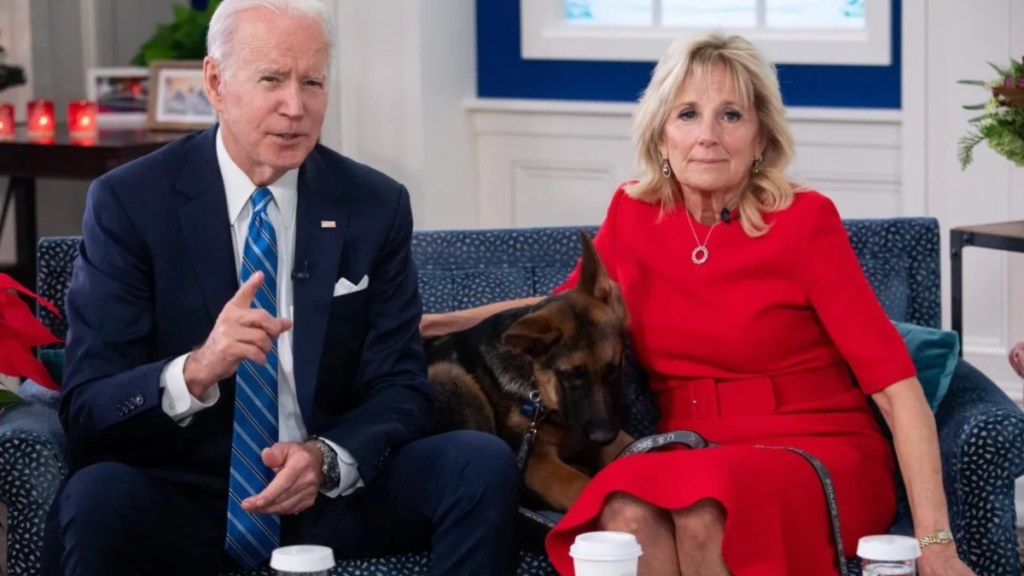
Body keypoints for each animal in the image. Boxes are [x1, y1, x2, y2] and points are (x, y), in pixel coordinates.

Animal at [421, 230, 630, 508]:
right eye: (571, 375)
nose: (603, 436)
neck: (538, 391)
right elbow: (582, 487)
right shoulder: (538, 463)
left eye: (614, 369)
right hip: (451, 377)